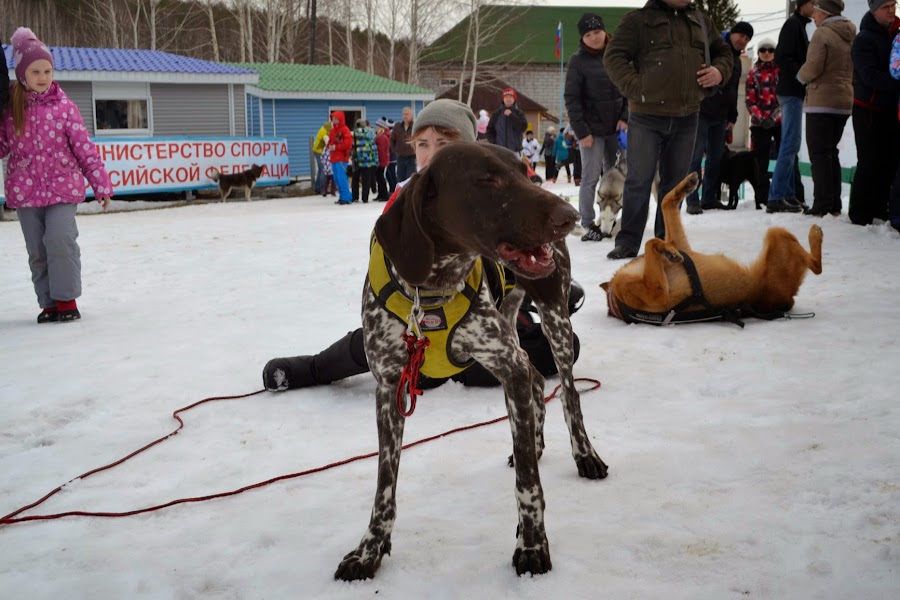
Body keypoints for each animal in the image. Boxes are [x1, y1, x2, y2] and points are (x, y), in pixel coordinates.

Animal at [338, 142, 612, 580]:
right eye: (486, 179)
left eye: (525, 171)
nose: (568, 217)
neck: (430, 291)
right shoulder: (389, 388)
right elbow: (384, 486)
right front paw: (370, 550)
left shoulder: (507, 364)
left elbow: (528, 485)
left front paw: (531, 544)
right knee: (536, 379)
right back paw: (534, 444)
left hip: (554, 320)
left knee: (568, 394)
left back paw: (584, 455)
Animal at [596, 171, 824, 326]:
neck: (614, 297)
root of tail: (786, 301)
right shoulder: (657, 294)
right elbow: (650, 242)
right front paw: (668, 252)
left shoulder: (683, 246)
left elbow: (665, 203)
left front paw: (685, 186)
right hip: (776, 237)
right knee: (817, 266)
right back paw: (815, 234)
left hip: (777, 236)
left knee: (815, 265)